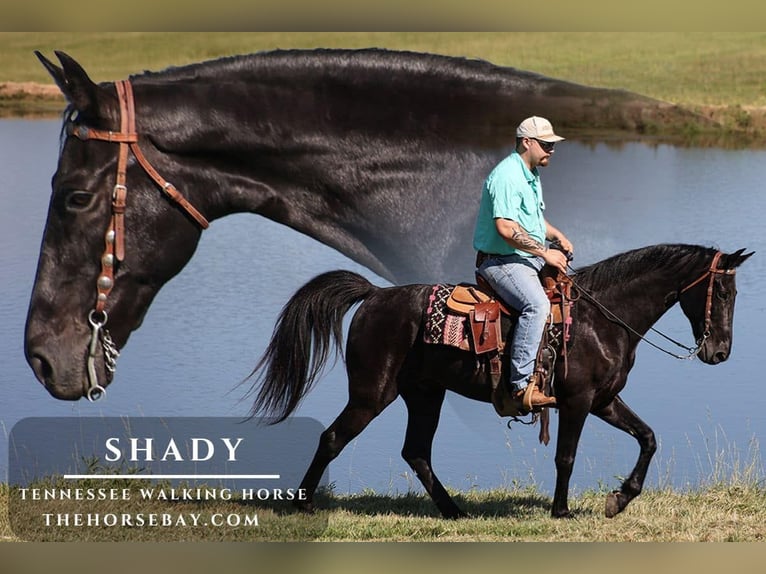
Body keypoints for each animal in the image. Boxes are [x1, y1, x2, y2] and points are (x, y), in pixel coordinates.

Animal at [248, 244, 751, 518]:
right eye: (725, 292)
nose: (721, 353)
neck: (603, 317)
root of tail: (374, 296)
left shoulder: (605, 400)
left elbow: (648, 438)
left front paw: (620, 499)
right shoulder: (578, 401)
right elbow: (566, 457)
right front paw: (562, 510)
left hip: (424, 395)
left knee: (416, 452)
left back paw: (454, 511)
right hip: (372, 394)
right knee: (334, 438)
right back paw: (304, 503)